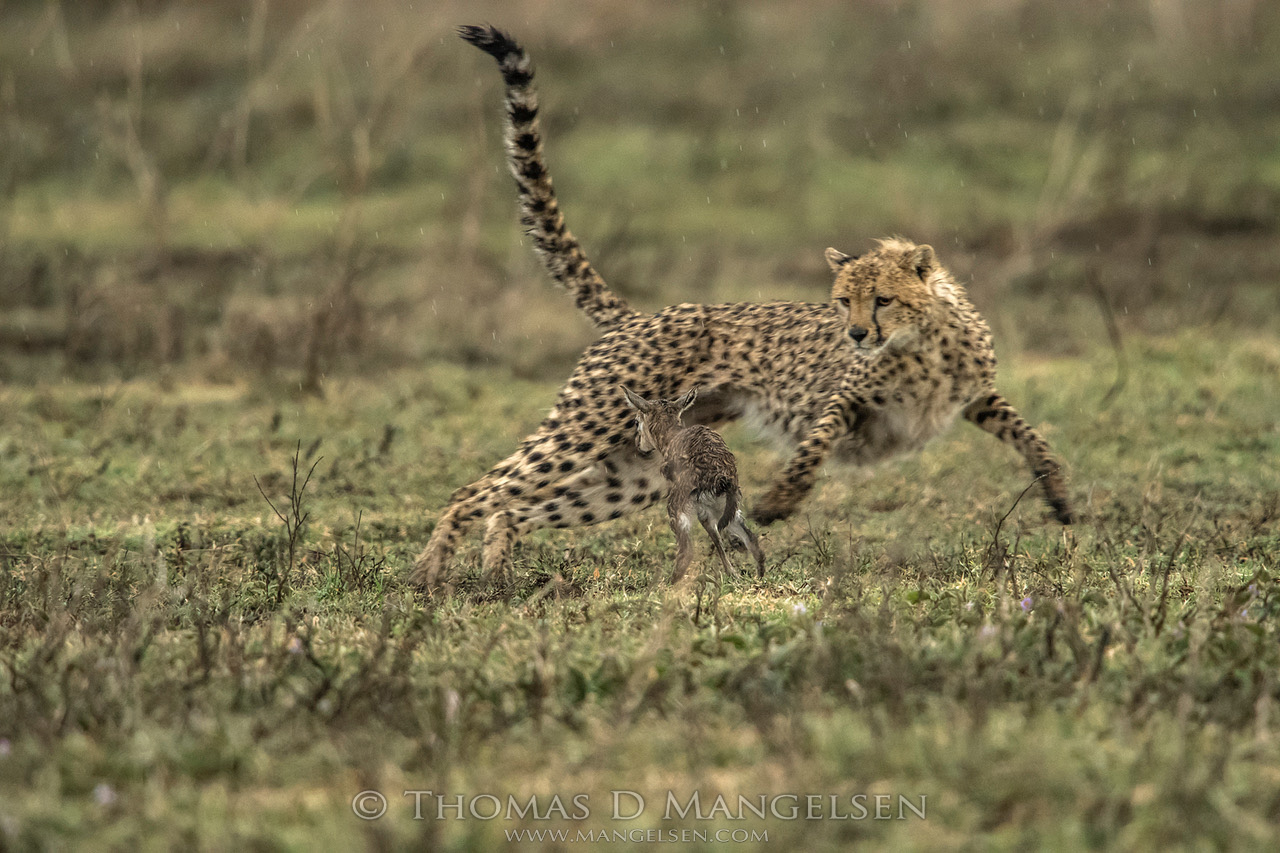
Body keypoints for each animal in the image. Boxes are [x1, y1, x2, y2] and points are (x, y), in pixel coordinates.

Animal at [409, 24, 1073, 592]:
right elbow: (812, 448)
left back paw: (495, 571)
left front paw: (1060, 494)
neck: (924, 341)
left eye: (882, 299)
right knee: (479, 490)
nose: (858, 335)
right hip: (585, 431)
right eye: (842, 303)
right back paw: (430, 574)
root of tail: (640, 316)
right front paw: (781, 501)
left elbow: (1028, 432)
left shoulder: (975, 396)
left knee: (515, 506)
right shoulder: (841, 398)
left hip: (635, 470)